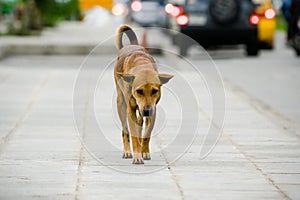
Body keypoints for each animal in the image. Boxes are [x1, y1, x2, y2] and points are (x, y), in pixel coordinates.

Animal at [113, 24, 172, 164]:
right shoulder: (131, 110)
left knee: (140, 124)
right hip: (121, 104)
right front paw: (137, 156)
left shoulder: (153, 110)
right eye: (139, 91)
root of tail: (130, 45)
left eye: (154, 91)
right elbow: (133, 134)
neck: (143, 65)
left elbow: (146, 134)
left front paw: (144, 152)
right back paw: (127, 151)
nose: (146, 111)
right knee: (125, 130)